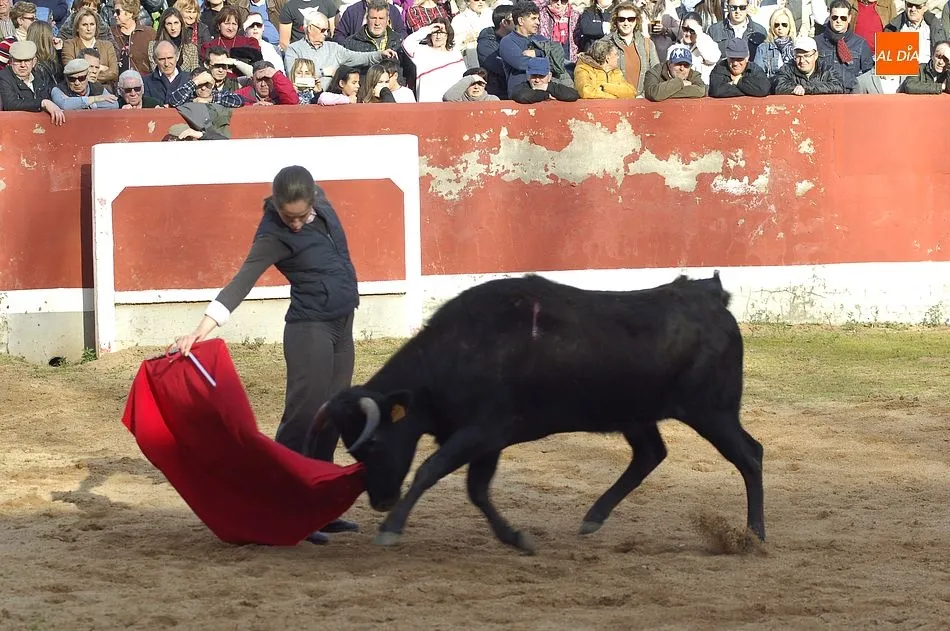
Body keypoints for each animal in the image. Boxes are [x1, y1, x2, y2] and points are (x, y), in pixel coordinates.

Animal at [306, 272, 765, 555]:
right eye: (352, 450)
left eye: (374, 443)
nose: (381, 501)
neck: (457, 351)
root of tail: (712, 297)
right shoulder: (488, 442)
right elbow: (477, 490)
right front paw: (516, 538)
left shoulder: (482, 431)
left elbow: (430, 470)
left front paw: (391, 529)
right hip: (638, 416)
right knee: (651, 454)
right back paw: (592, 518)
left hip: (712, 412)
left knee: (750, 455)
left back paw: (755, 535)